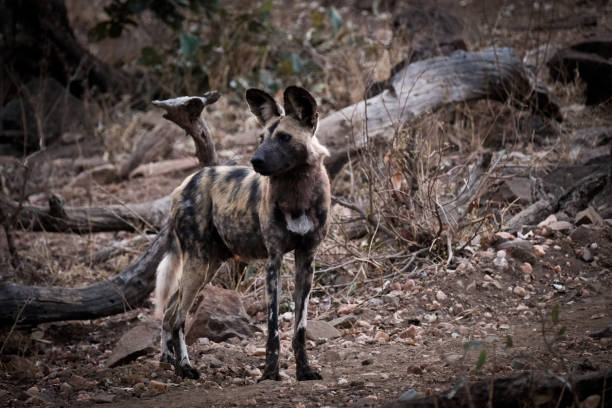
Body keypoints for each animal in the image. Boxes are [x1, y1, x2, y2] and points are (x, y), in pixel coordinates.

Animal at [155, 84, 332, 380]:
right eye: (261, 138)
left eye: (284, 138)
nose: (255, 160)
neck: (297, 192)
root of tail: (186, 182)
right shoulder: (274, 260)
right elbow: (273, 327)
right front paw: (270, 373)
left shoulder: (306, 259)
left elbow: (300, 328)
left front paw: (304, 371)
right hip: (198, 264)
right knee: (178, 317)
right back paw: (185, 368)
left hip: (209, 265)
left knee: (169, 312)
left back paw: (168, 360)